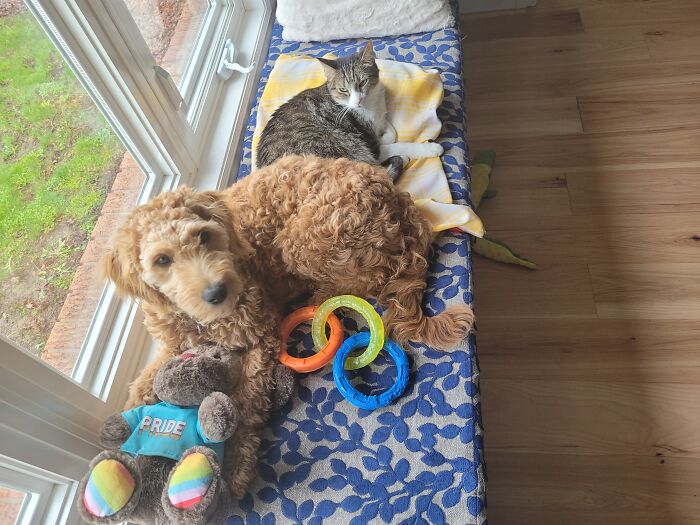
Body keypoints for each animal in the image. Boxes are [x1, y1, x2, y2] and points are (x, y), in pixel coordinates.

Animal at [102, 155, 476, 496]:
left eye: (204, 236)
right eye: (162, 260)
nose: (218, 291)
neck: (200, 320)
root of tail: (398, 201)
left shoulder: (261, 335)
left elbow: (247, 402)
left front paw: (236, 465)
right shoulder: (173, 345)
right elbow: (142, 385)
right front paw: (120, 434)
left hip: (306, 238)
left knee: (362, 281)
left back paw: (316, 296)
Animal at [256, 41, 442, 180]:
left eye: (362, 82)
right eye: (343, 90)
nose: (358, 100)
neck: (370, 106)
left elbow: (389, 130)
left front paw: (385, 129)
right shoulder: (371, 146)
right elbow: (395, 145)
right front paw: (431, 148)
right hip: (340, 145)